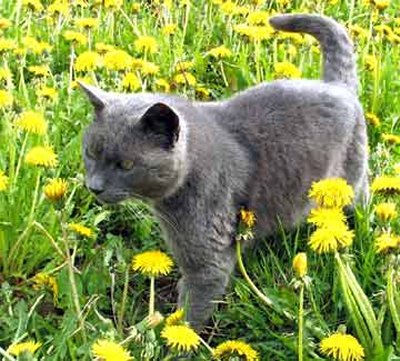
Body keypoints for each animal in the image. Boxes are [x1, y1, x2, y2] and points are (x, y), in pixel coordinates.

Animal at [80, 14, 368, 330]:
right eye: (91, 153)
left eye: (126, 165)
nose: (94, 186)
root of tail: (336, 85)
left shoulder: (207, 260)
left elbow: (192, 310)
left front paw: (176, 336)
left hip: (352, 179)